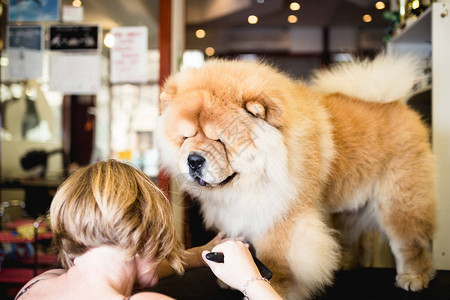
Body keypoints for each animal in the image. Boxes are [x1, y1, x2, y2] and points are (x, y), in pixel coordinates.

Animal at [156, 55, 436, 298]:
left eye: (220, 140)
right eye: (186, 137)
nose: (193, 160)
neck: (252, 181)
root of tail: (394, 103)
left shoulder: (282, 218)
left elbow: (276, 260)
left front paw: (273, 289)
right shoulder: (241, 213)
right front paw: (229, 276)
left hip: (398, 201)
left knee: (409, 242)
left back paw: (413, 277)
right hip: (350, 206)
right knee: (351, 234)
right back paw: (344, 263)